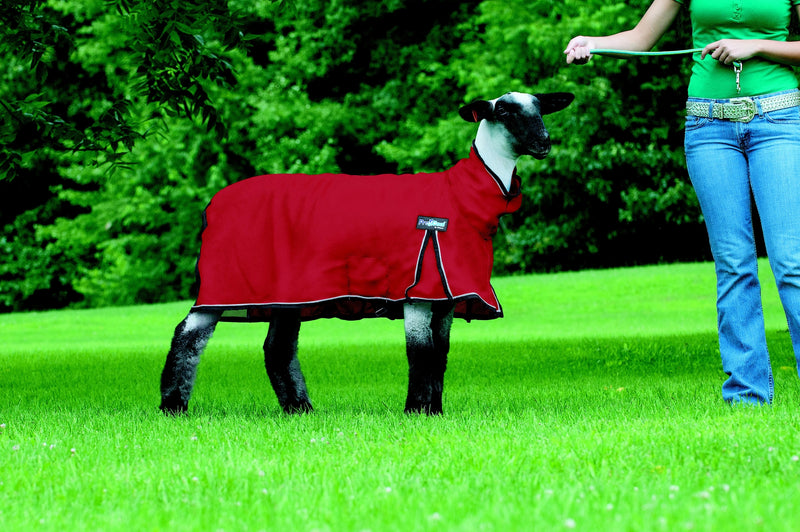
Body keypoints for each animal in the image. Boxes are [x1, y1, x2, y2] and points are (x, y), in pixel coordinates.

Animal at [160, 91, 574, 415]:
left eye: (541, 107)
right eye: (503, 111)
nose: (545, 143)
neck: (462, 196)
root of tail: (211, 206)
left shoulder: (448, 293)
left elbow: (440, 354)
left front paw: (436, 411)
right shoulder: (419, 287)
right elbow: (420, 353)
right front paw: (416, 411)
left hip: (288, 292)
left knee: (277, 348)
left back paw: (300, 409)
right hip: (222, 282)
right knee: (188, 336)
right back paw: (173, 406)